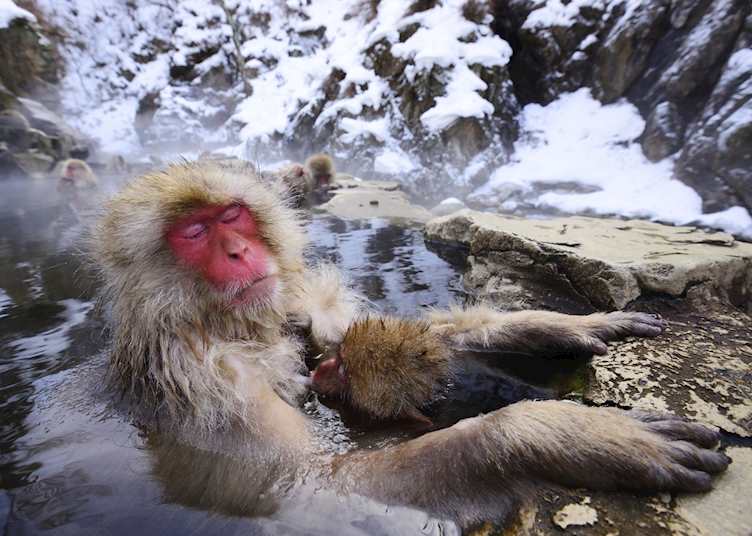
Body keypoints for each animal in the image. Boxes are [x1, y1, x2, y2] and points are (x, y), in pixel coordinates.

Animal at [89, 160, 729, 529]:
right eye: (194, 233)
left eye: (233, 216)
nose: (238, 252)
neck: (230, 326)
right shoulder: (210, 383)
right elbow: (318, 485)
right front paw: (563, 433)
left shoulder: (296, 310)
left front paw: (558, 325)